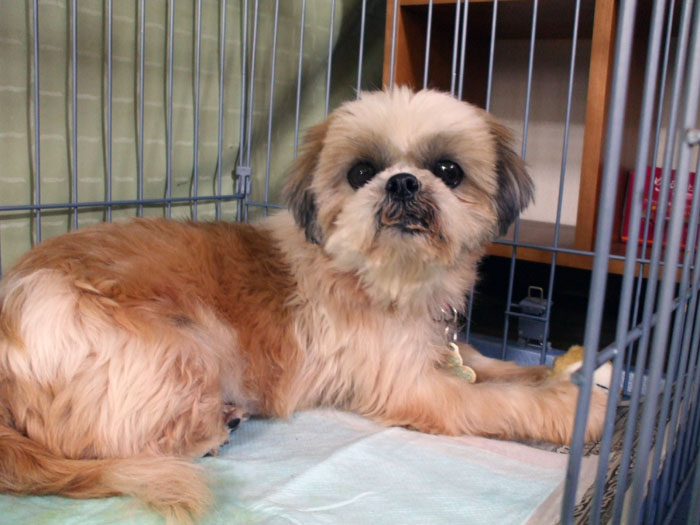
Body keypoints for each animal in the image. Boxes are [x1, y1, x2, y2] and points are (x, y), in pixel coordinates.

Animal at [0, 88, 607, 522]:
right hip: (185, 345)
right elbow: (507, 401)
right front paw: (579, 409)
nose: (403, 182)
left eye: (448, 171)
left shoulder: (443, 349)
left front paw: (567, 376)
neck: (390, 282)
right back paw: (214, 429)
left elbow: (500, 370)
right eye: (361, 172)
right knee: (112, 439)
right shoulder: (420, 388)